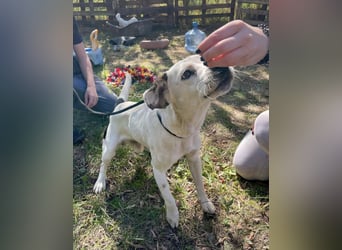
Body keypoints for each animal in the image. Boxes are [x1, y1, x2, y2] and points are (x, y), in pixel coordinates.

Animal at [93, 55, 232, 229]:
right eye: (186, 74)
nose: (221, 64)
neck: (182, 128)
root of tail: (121, 104)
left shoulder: (194, 159)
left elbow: (200, 183)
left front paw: (205, 203)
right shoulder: (158, 170)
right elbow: (169, 196)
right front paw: (173, 216)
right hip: (110, 148)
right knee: (104, 163)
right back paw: (100, 182)